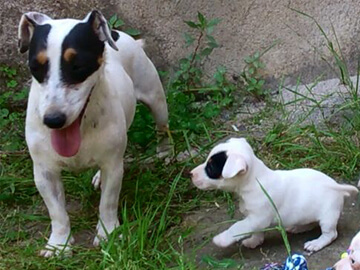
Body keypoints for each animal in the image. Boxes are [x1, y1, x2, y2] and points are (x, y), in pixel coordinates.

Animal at [17, 10, 169, 255]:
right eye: (35, 67)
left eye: (78, 65)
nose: (53, 120)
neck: (83, 126)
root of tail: (116, 34)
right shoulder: (44, 172)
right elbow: (57, 212)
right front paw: (59, 244)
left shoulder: (113, 166)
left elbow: (107, 202)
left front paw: (108, 234)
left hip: (156, 99)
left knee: (162, 128)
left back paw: (165, 153)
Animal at [191, 137, 358, 253]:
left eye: (211, 168)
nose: (190, 174)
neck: (253, 180)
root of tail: (337, 186)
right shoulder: (256, 221)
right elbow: (256, 232)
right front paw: (254, 241)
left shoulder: (257, 218)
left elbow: (237, 227)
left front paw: (221, 239)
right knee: (310, 222)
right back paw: (298, 228)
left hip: (328, 216)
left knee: (331, 234)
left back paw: (316, 243)